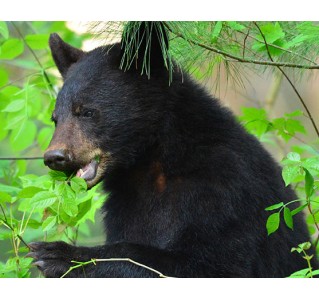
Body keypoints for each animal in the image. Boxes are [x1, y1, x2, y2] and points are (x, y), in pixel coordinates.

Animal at [26, 22, 318, 278]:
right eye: (56, 118)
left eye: (86, 111)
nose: (54, 157)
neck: (154, 160)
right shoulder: (125, 204)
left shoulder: (226, 189)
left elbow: (210, 264)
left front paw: (59, 255)